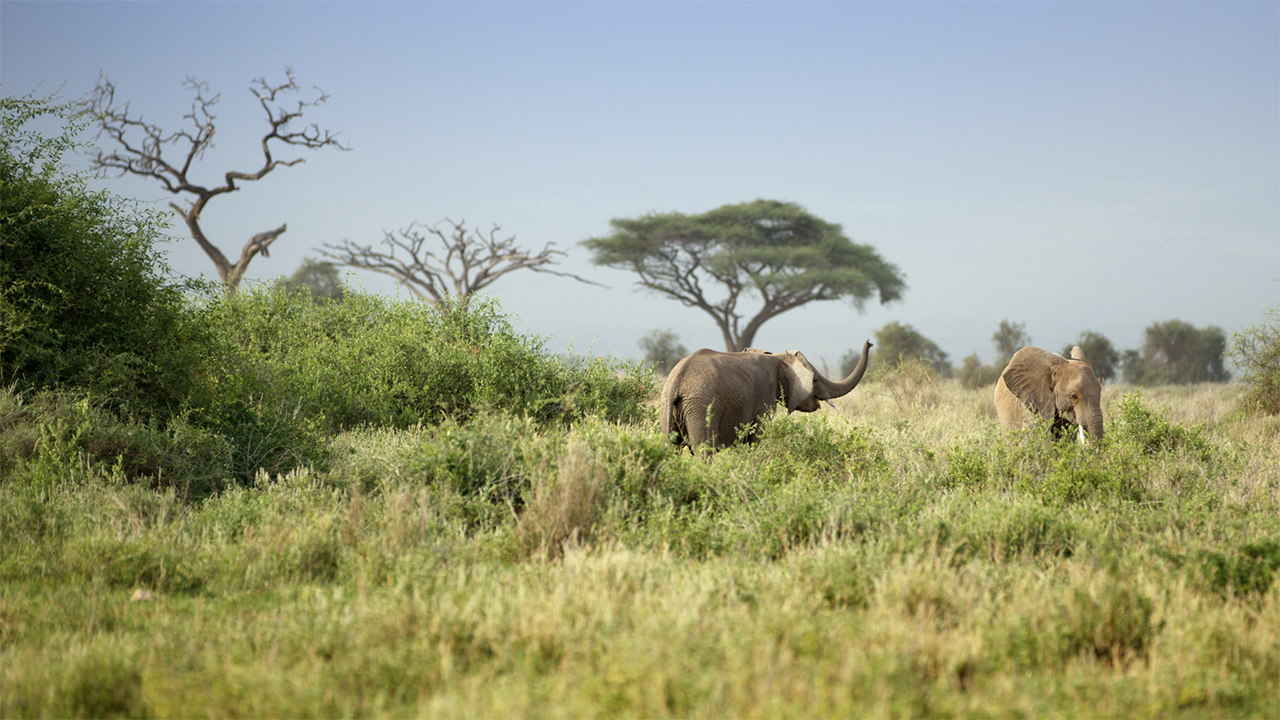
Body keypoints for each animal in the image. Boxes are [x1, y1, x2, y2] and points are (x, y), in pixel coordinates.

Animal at [660, 335, 870, 448]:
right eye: (815, 380)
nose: (870, 342)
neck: (778, 357)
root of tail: (676, 382)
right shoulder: (765, 395)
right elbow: (757, 438)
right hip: (700, 406)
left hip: (668, 406)